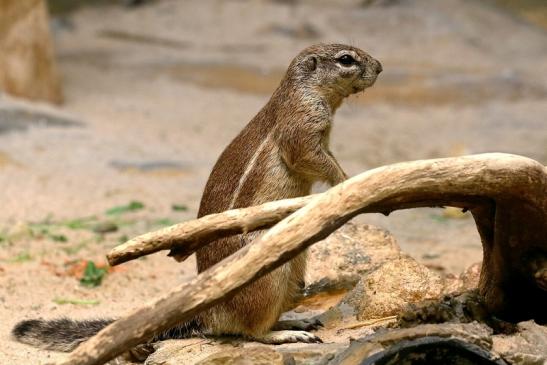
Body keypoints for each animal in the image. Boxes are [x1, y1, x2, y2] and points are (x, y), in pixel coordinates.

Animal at [11, 44, 382, 352]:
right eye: (346, 59)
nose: (379, 66)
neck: (305, 92)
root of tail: (208, 314)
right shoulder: (302, 130)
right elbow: (312, 159)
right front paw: (348, 182)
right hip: (268, 273)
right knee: (252, 330)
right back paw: (286, 333)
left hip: (294, 267)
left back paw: (298, 318)